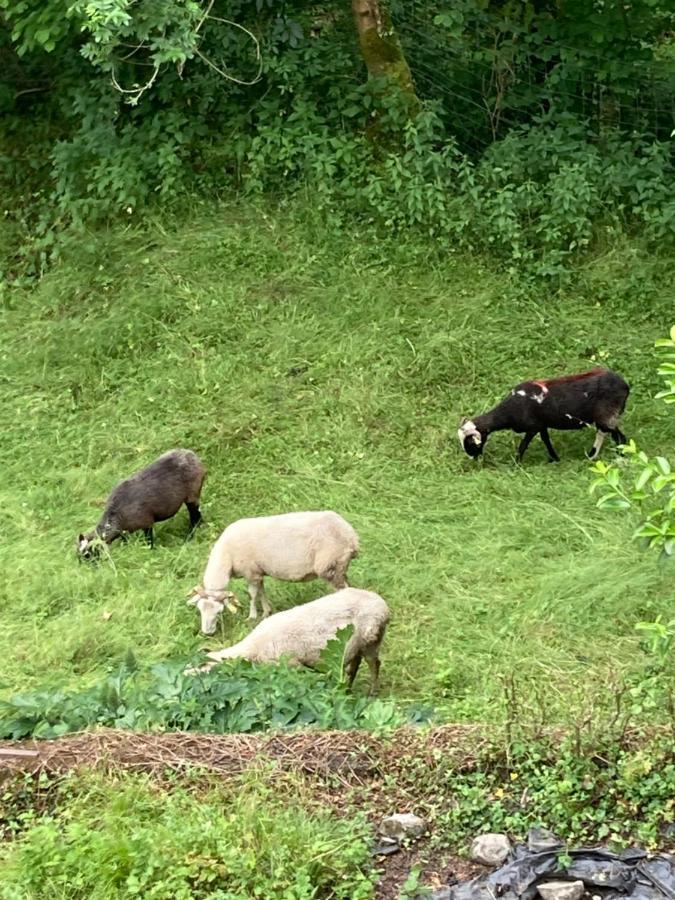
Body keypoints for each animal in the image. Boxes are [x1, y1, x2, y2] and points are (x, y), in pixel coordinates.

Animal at [75, 448, 205, 560]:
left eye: (88, 554)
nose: (89, 569)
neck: (117, 514)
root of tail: (191, 455)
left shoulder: (147, 523)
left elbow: (148, 541)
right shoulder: (124, 531)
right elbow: (125, 541)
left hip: (192, 495)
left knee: (195, 515)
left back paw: (191, 535)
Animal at [187, 506, 360, 632]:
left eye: (219, 611)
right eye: (199, 610)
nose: (207, 633)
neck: (226, 557)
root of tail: (351, 535)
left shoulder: (251, 572)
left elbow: (252, 595)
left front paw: (252, 616)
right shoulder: (258, 572)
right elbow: (261, 591)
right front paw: (266, 612)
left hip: (330, 566)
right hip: (341, 566)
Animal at [190, 588, 390, 692]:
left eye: (203, 672)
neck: (252, 649)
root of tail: (382, 604)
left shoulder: (292, 665)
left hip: (371, 638)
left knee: (374, 664)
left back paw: (372, 692)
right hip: (356, 645)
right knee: (355, 665)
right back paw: (348, 687)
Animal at [456, 368, 632, 464]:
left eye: (470, 442)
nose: (472, 458)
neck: (509, 411)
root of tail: (624, 385)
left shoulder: (532, 427)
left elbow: (523, 445)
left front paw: (516, 463)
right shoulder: (541, 425)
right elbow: (546, 440)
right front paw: (555, 458)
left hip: (607, 415)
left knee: (618, 436)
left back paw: (619, 458)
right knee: (606, 433)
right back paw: (592, 456)